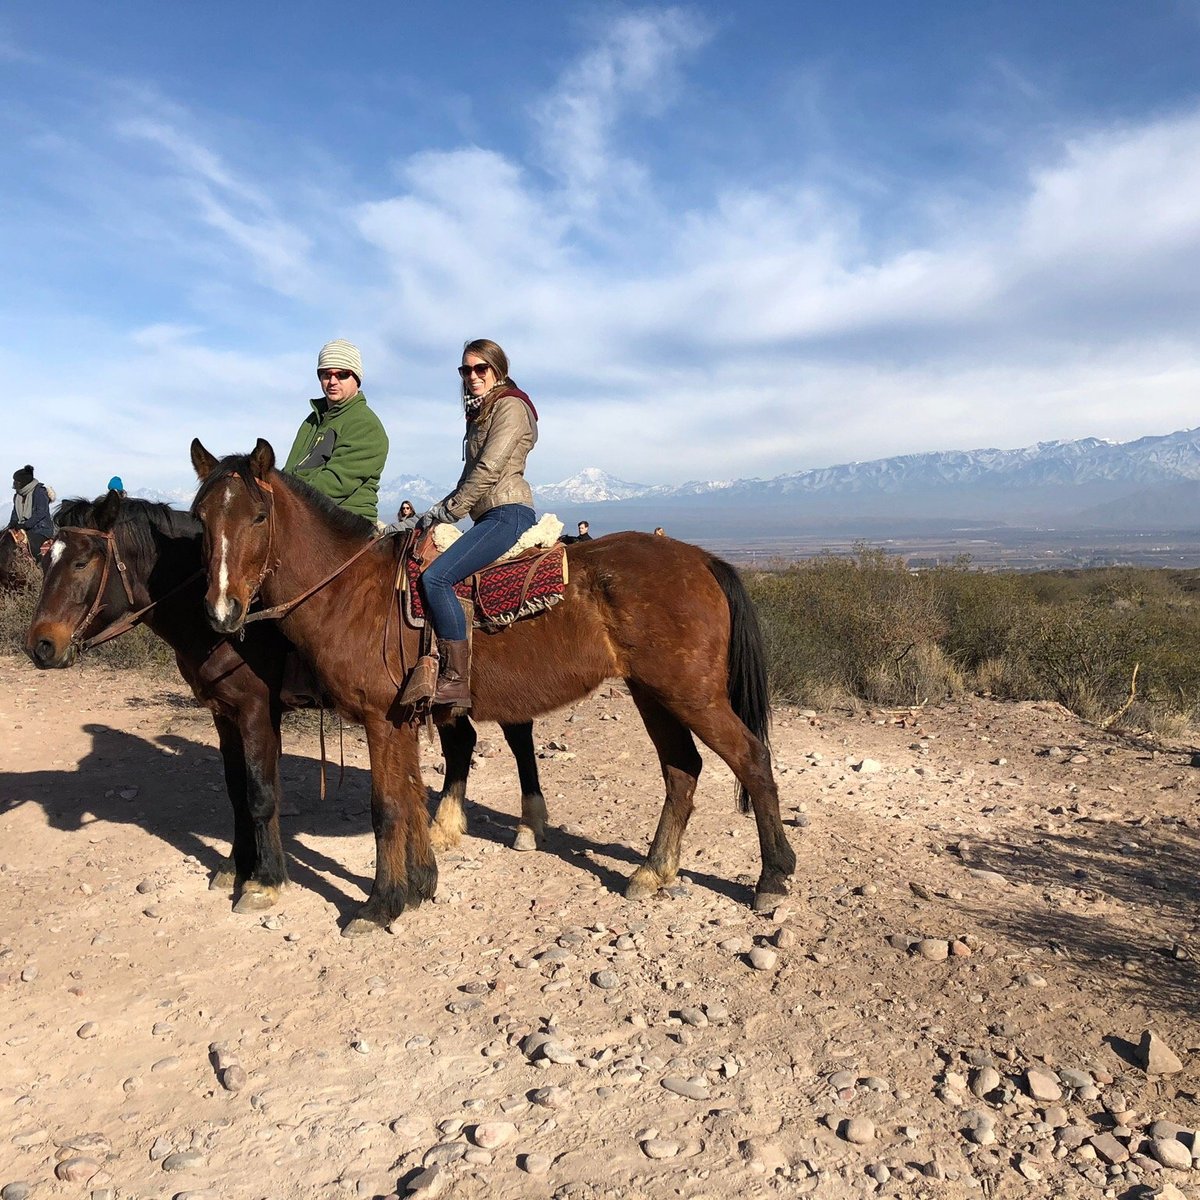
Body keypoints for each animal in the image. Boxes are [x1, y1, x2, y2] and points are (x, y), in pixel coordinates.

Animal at [24, 492, 549, 912]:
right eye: (46, 558)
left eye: (82, 562)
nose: (41, 646)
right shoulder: (223, 714)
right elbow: (237, 791)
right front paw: (235, 868)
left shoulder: (257, 711)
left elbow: (261, 794)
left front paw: (266, 881)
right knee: (462, 743)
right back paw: (448, 827)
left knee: (517, 737)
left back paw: (526, 827)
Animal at [189, 441, 796, 936]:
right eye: (201, 520)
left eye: (259, 515)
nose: (221, 612)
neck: (349, 591)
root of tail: (702, 560)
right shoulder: (404, 721)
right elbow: (411, 797)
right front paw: (420, 886)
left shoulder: (381, 720)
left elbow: (387, 807)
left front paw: (380, 905)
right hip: (655, 695)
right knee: (681, 771)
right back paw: (653, 871)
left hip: (692, 696)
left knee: (751, 759)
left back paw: (771, 879)